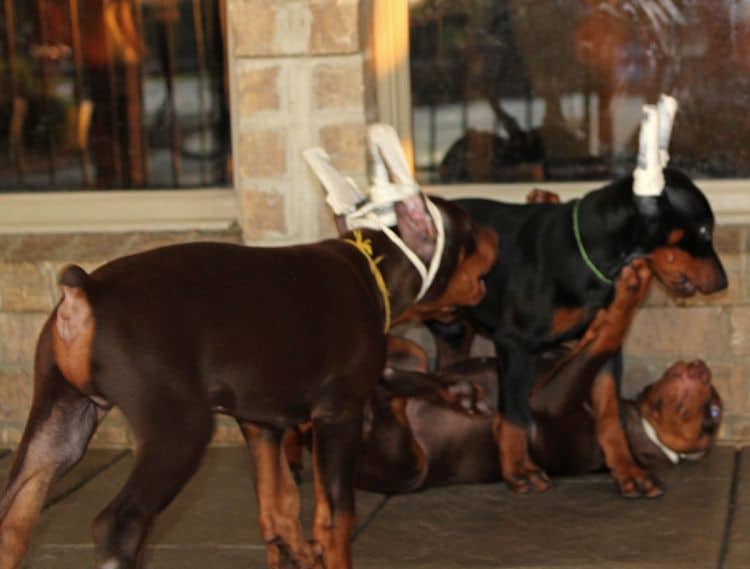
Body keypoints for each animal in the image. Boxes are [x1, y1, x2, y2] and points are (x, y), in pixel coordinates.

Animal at [352, 264, 724, 494]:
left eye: (713, 413)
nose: (700, 366)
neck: (641, 422)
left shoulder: (548, 401)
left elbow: (607, 335)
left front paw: (630, 291)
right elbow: (595, 336)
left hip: (409, 466)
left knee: (386, 393)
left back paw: (451, 391)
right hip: (414, 359)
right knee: (404, 358)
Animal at [458, 169, 728, 492]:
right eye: (704, 230)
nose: (723, 283)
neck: (587, 254)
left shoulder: (607, 355)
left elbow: (610, 413)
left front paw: (628, 472)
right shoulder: (515, 344)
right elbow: (515, 413)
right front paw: (517, 469)